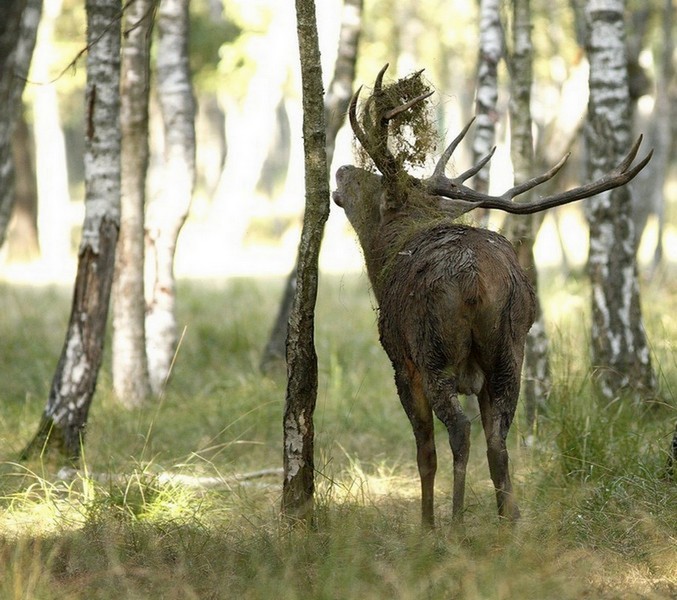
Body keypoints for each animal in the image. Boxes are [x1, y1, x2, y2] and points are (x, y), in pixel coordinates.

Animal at [332, 65, 652, 527]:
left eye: (375, 184)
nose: (341, 170)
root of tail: (474, 282)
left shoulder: (400, 362)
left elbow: (424, 451)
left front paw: (425, 525)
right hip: (509, 350)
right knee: (498, 439)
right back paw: (509, 522)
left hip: (434, 351)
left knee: (460, 431)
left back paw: (454, 524)